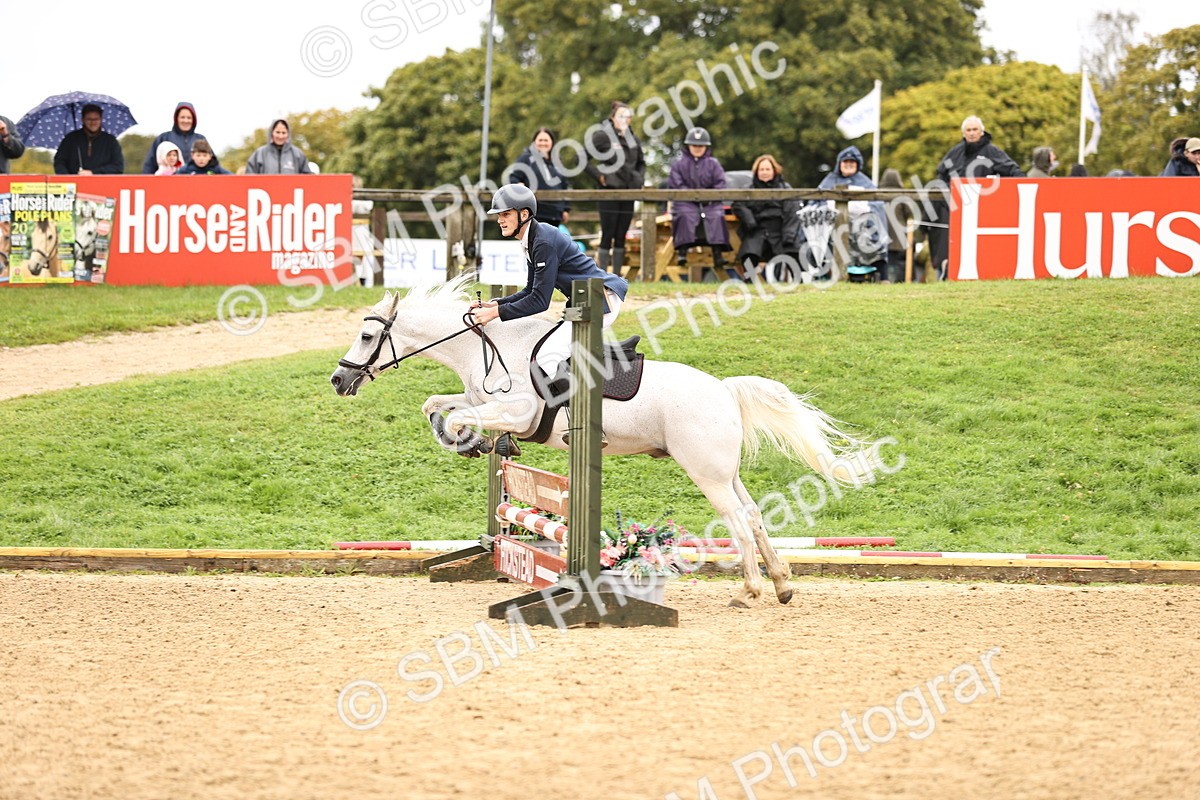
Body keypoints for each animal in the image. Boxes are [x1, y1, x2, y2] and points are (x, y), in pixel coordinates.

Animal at [329, 278, 882, 607]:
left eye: (366, 337)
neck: (489, 347)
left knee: (739, 520)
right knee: (755, 513)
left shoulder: (519, 412)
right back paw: (783, 583)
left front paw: (473, 442)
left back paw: (749, 591)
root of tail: (724, 390)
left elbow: (460, 416)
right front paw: (482, 444)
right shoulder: (480, 400)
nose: (338, 381)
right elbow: (435, 404)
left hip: (704, 470)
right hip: (725, 470)